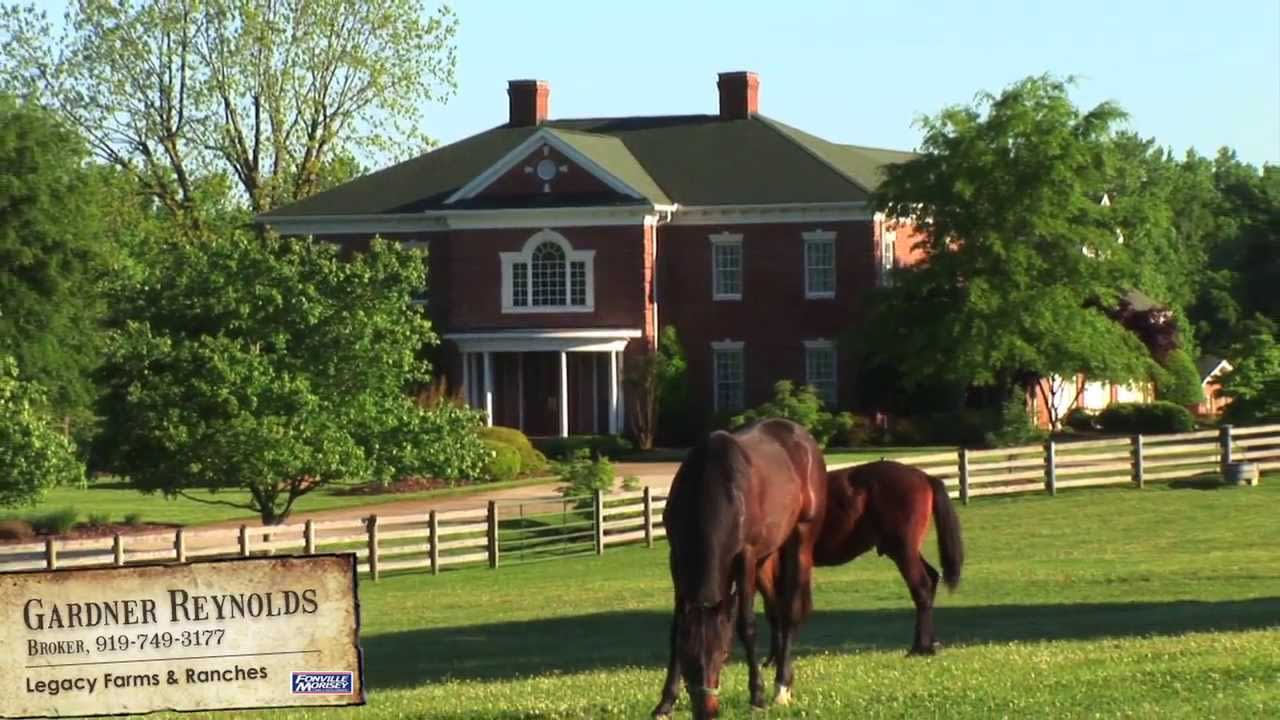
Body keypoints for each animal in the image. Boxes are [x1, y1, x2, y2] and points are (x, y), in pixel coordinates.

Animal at [650, 417, 829, 712]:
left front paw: (757, 695)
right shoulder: (677, 558)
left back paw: (782, 686)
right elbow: (676, 628)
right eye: (687, 655)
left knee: (790, 610)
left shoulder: (744, 557)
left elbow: (746, 625)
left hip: (801, 537)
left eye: (724, 653)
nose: (707, 710)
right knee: (775, 609)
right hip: (765, 558)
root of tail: (802, 436)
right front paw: (666, 702)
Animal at [814, 456, 962, 653]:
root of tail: (924, 477)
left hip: (903, 551)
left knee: (922, 586)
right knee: (931, 577)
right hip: (905, 550)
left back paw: (921, 648)